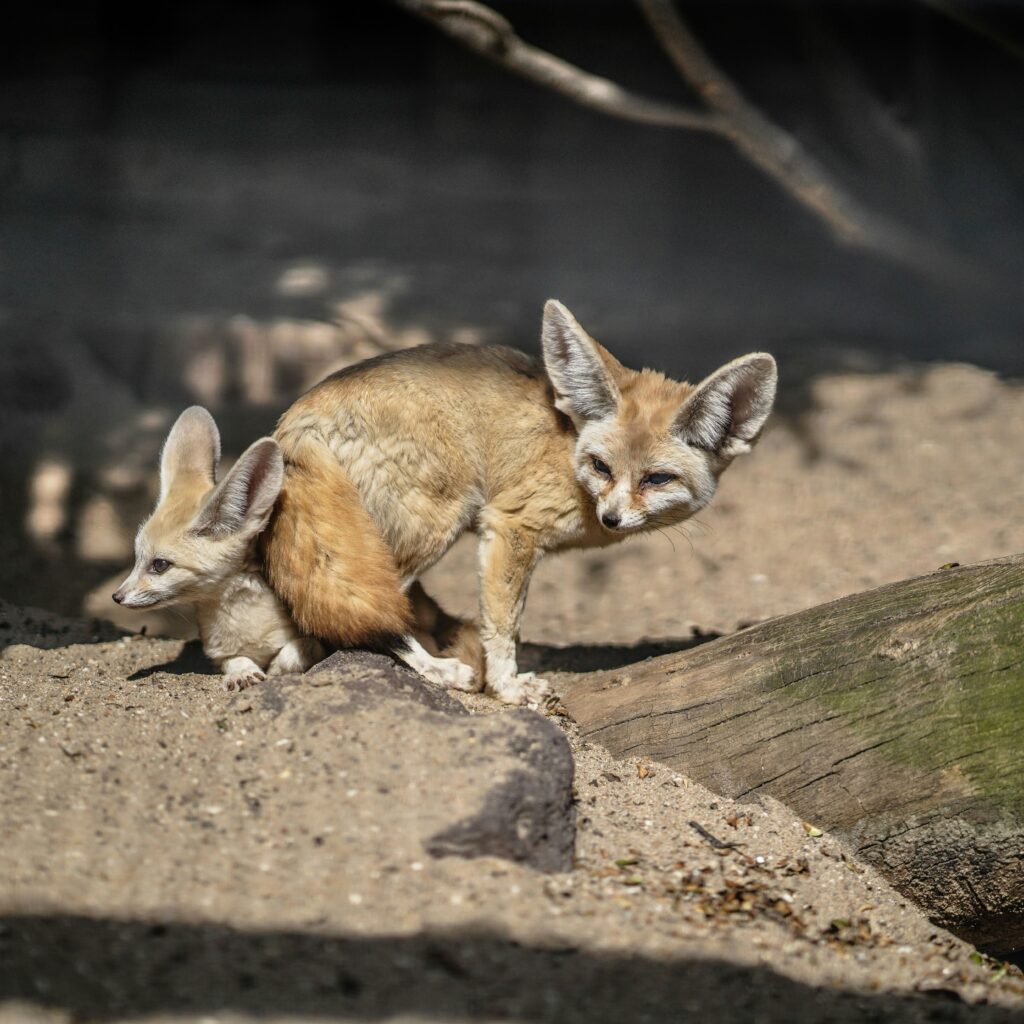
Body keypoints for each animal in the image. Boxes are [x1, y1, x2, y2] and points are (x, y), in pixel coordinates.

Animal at [113, 406, 324, 690]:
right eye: (137, 557)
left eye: (160, 565)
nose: (117, 596)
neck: (246, 625)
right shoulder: (220, 652)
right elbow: (235, 660)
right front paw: (243, 671)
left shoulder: (318, 639)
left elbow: (298, 649)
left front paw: (278, 667)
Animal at [262, 299, 777, 705]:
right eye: (602, 467)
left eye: (656, 479)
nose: (611, 518)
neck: (568, 452)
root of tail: (297, 413)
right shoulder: (510, 528)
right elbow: (503, 626)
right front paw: (506, 688)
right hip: (435, 523)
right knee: (360, 609)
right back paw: (431, 668)